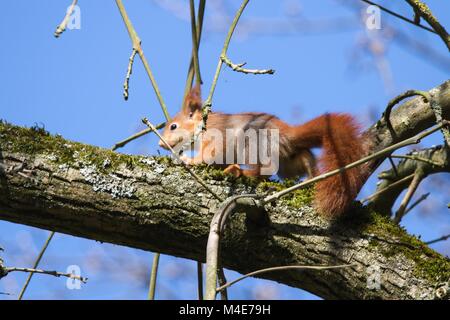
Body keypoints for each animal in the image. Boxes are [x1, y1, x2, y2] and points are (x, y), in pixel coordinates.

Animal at [160, 86, 368, 218]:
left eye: (173, 126)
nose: (161, 144)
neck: (203, 124)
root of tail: (286, 134)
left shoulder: (217, 135)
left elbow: (209, 155)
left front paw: (189, 160)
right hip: (288, 164)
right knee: (302, 161)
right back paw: (310, 178)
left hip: (253, 147)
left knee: (260, 172)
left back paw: (238, 171)